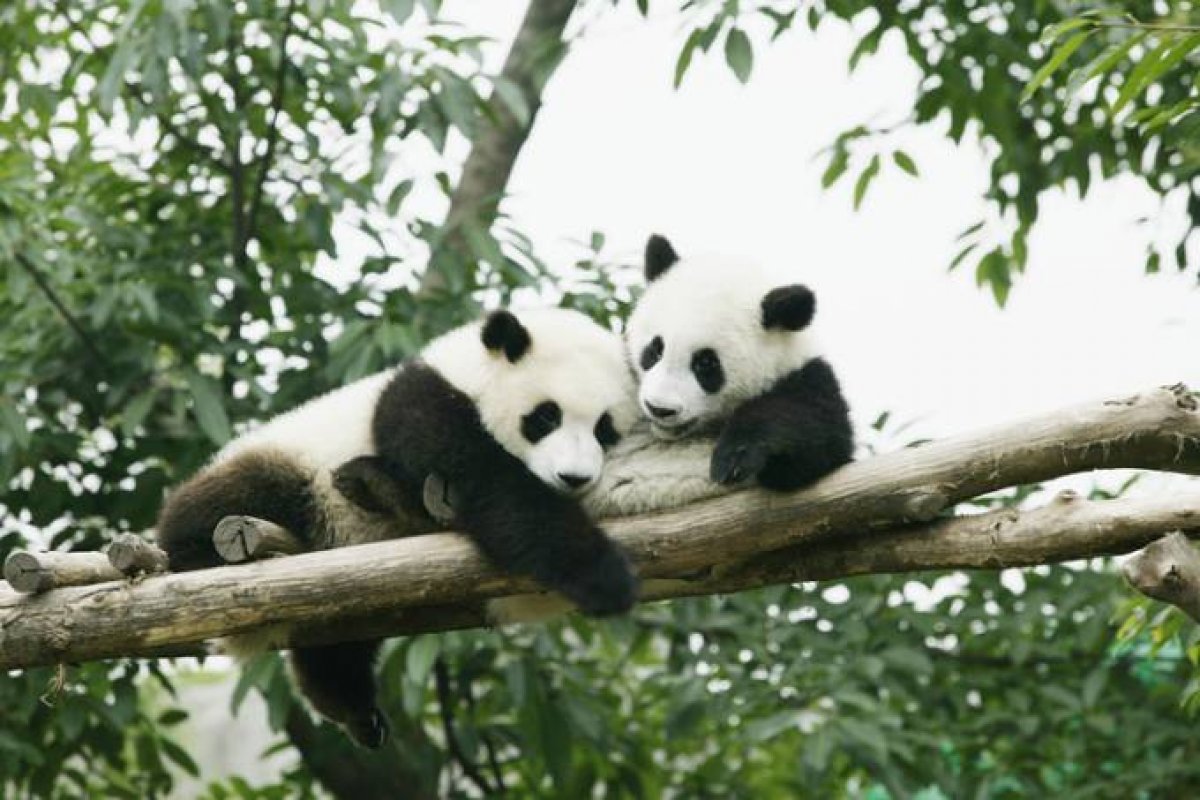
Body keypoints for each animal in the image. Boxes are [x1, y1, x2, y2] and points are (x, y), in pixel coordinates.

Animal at [156, 309, 643, 753]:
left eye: (605, 429)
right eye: (545, 417)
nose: (574, 478)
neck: (467, 372)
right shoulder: (422, 405)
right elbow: (494, 487)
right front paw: (604, 577)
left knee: (336, 648)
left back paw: (353, 709)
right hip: (290, 469)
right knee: (232, 499)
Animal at [624, 235, 859, 491]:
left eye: (706, 363)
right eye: (655, 349)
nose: (659, 408)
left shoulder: (809, 379)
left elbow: (820, 437)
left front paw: (734, 457)